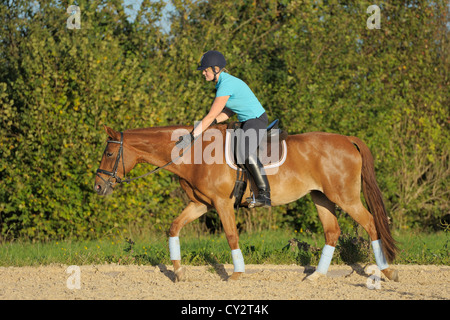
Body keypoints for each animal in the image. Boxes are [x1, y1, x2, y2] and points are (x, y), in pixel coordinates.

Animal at [94, 124, 398, 282]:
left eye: (108, 153)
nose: (98, 186)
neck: (194, 154)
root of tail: (347, 139)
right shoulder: (201, 204)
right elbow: (174, 227)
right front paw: (179, 272)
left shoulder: (222, 204)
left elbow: (231, 235)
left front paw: (237, 273)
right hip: (322, 197)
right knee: (332, 231)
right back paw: (316, 276)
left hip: (345, 197)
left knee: (371, 224)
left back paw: (386, 270)